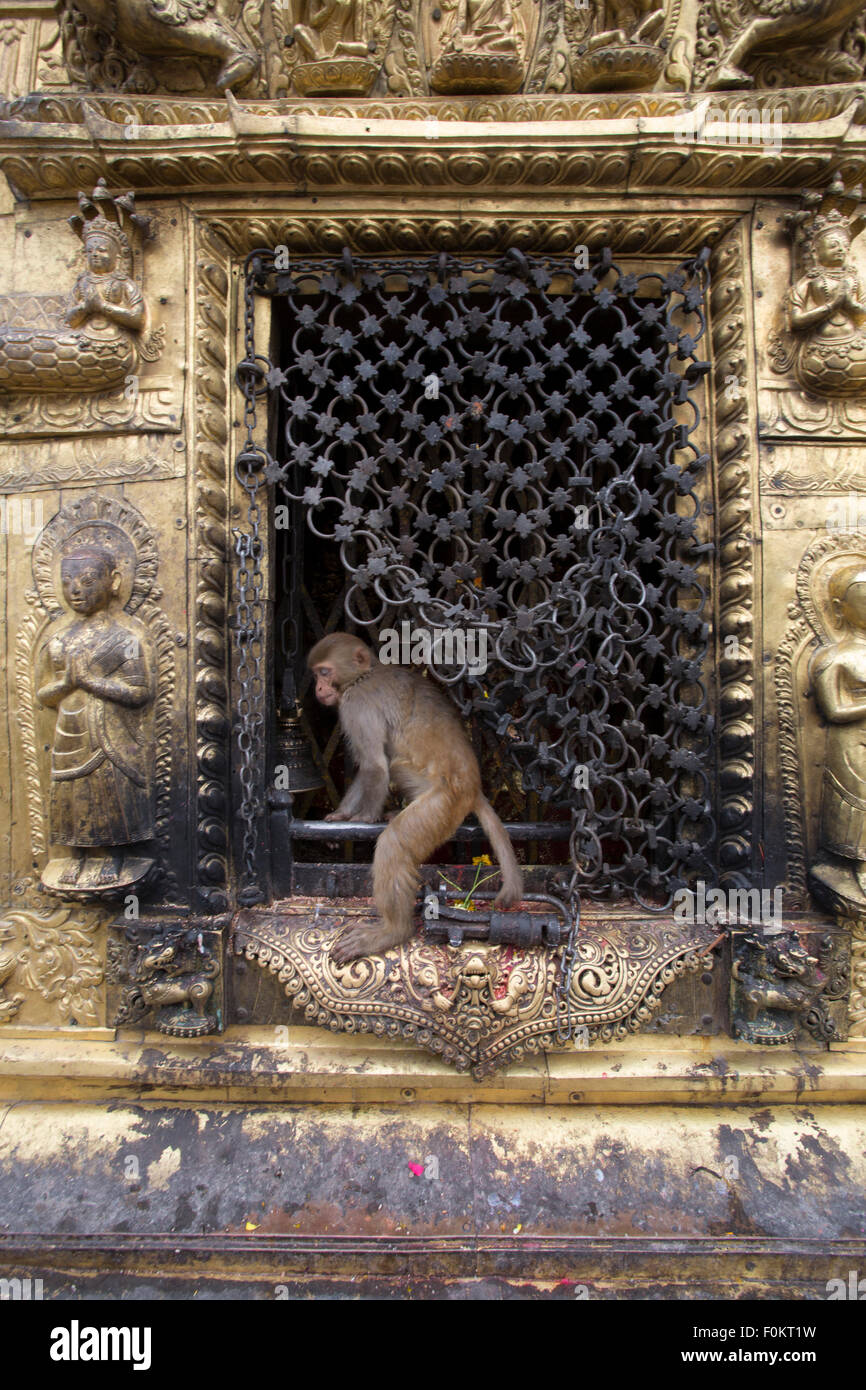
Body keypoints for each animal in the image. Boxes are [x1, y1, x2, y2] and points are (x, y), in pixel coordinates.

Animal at [308, 632, 523, 963]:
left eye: (324, 672)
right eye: (316, 674)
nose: (319, 689)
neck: (363, 675)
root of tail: (473, 787)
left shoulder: (357, 704)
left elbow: (375, 766)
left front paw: (363, 818)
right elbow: (371, 767)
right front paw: (340, 816)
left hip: (442, 804)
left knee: (394, 837)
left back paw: (392, 931)